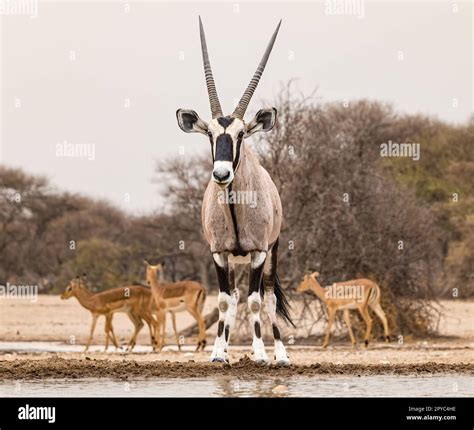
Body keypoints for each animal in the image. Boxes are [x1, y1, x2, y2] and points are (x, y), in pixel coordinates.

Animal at [175, 17, 292, 366]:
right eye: (210, 134)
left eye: (241, 134)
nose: (222, 174)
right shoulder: (218, 252)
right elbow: (226, 300)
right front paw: (217, 353)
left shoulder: (259, 251)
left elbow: (255, 301)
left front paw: (261, 354)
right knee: (237, 296)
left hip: (272, 251)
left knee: (268, 297)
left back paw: (280, 354)